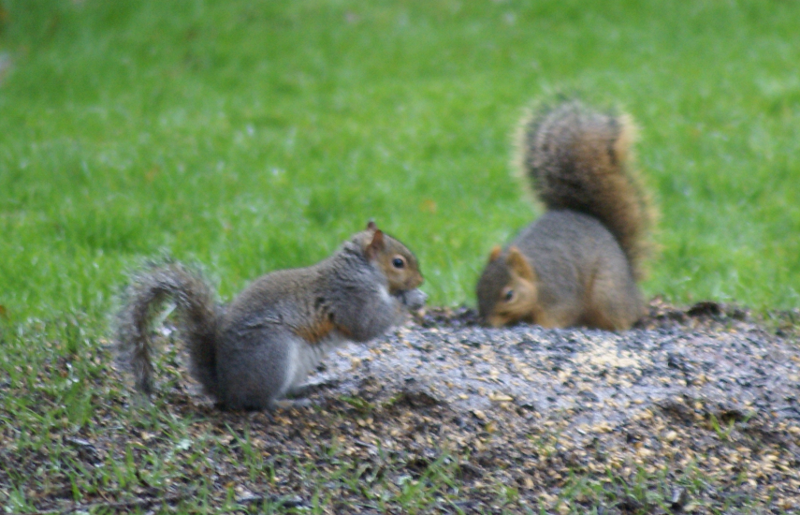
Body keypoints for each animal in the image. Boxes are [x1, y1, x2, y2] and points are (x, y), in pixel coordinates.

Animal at [115, 221, 426, 410]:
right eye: (398, 263)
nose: (421, 280)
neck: (361, 271)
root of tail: (224, 387)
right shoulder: (351, 298)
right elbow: (368, 326)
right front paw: (410, 300)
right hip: (273, 352)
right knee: (260, 402)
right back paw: (290, 403)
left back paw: (313, 385)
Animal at [476, 100, 655, 330]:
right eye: (478, 287)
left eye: (509, 295)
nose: (488, 323)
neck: (536, 275)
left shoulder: (559, 292)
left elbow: (558, 314)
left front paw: (542, 325)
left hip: (607, 294)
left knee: (619, 318)